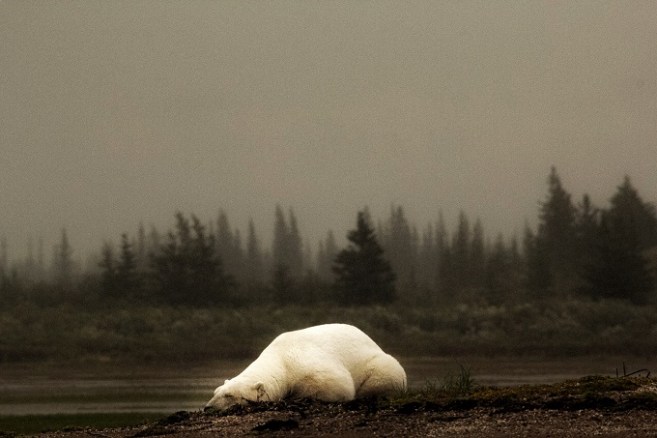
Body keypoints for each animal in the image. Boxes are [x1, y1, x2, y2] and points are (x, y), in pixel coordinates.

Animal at [205, 323, 407, 410]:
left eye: (229, 395)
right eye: (215, 392)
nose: (208, 407)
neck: (281, 358)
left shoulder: (306, 364)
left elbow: (337, 384)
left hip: (379, 364)